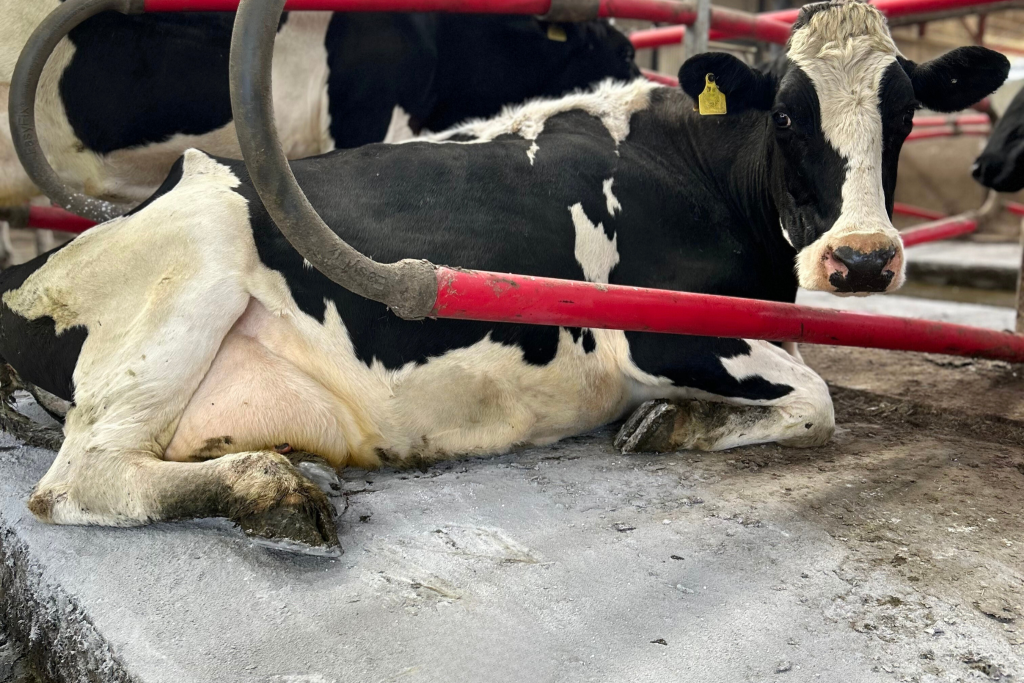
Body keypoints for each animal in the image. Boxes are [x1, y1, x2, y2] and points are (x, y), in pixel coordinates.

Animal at [0, 0, 1007, 555]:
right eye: (790, 116)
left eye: (904, 112)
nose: (865, 257)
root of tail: (31, 272)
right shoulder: (660, 329)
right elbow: (818, 398)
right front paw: (671, 423)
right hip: (192, 271)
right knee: (79, 479)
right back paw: (271, 492)